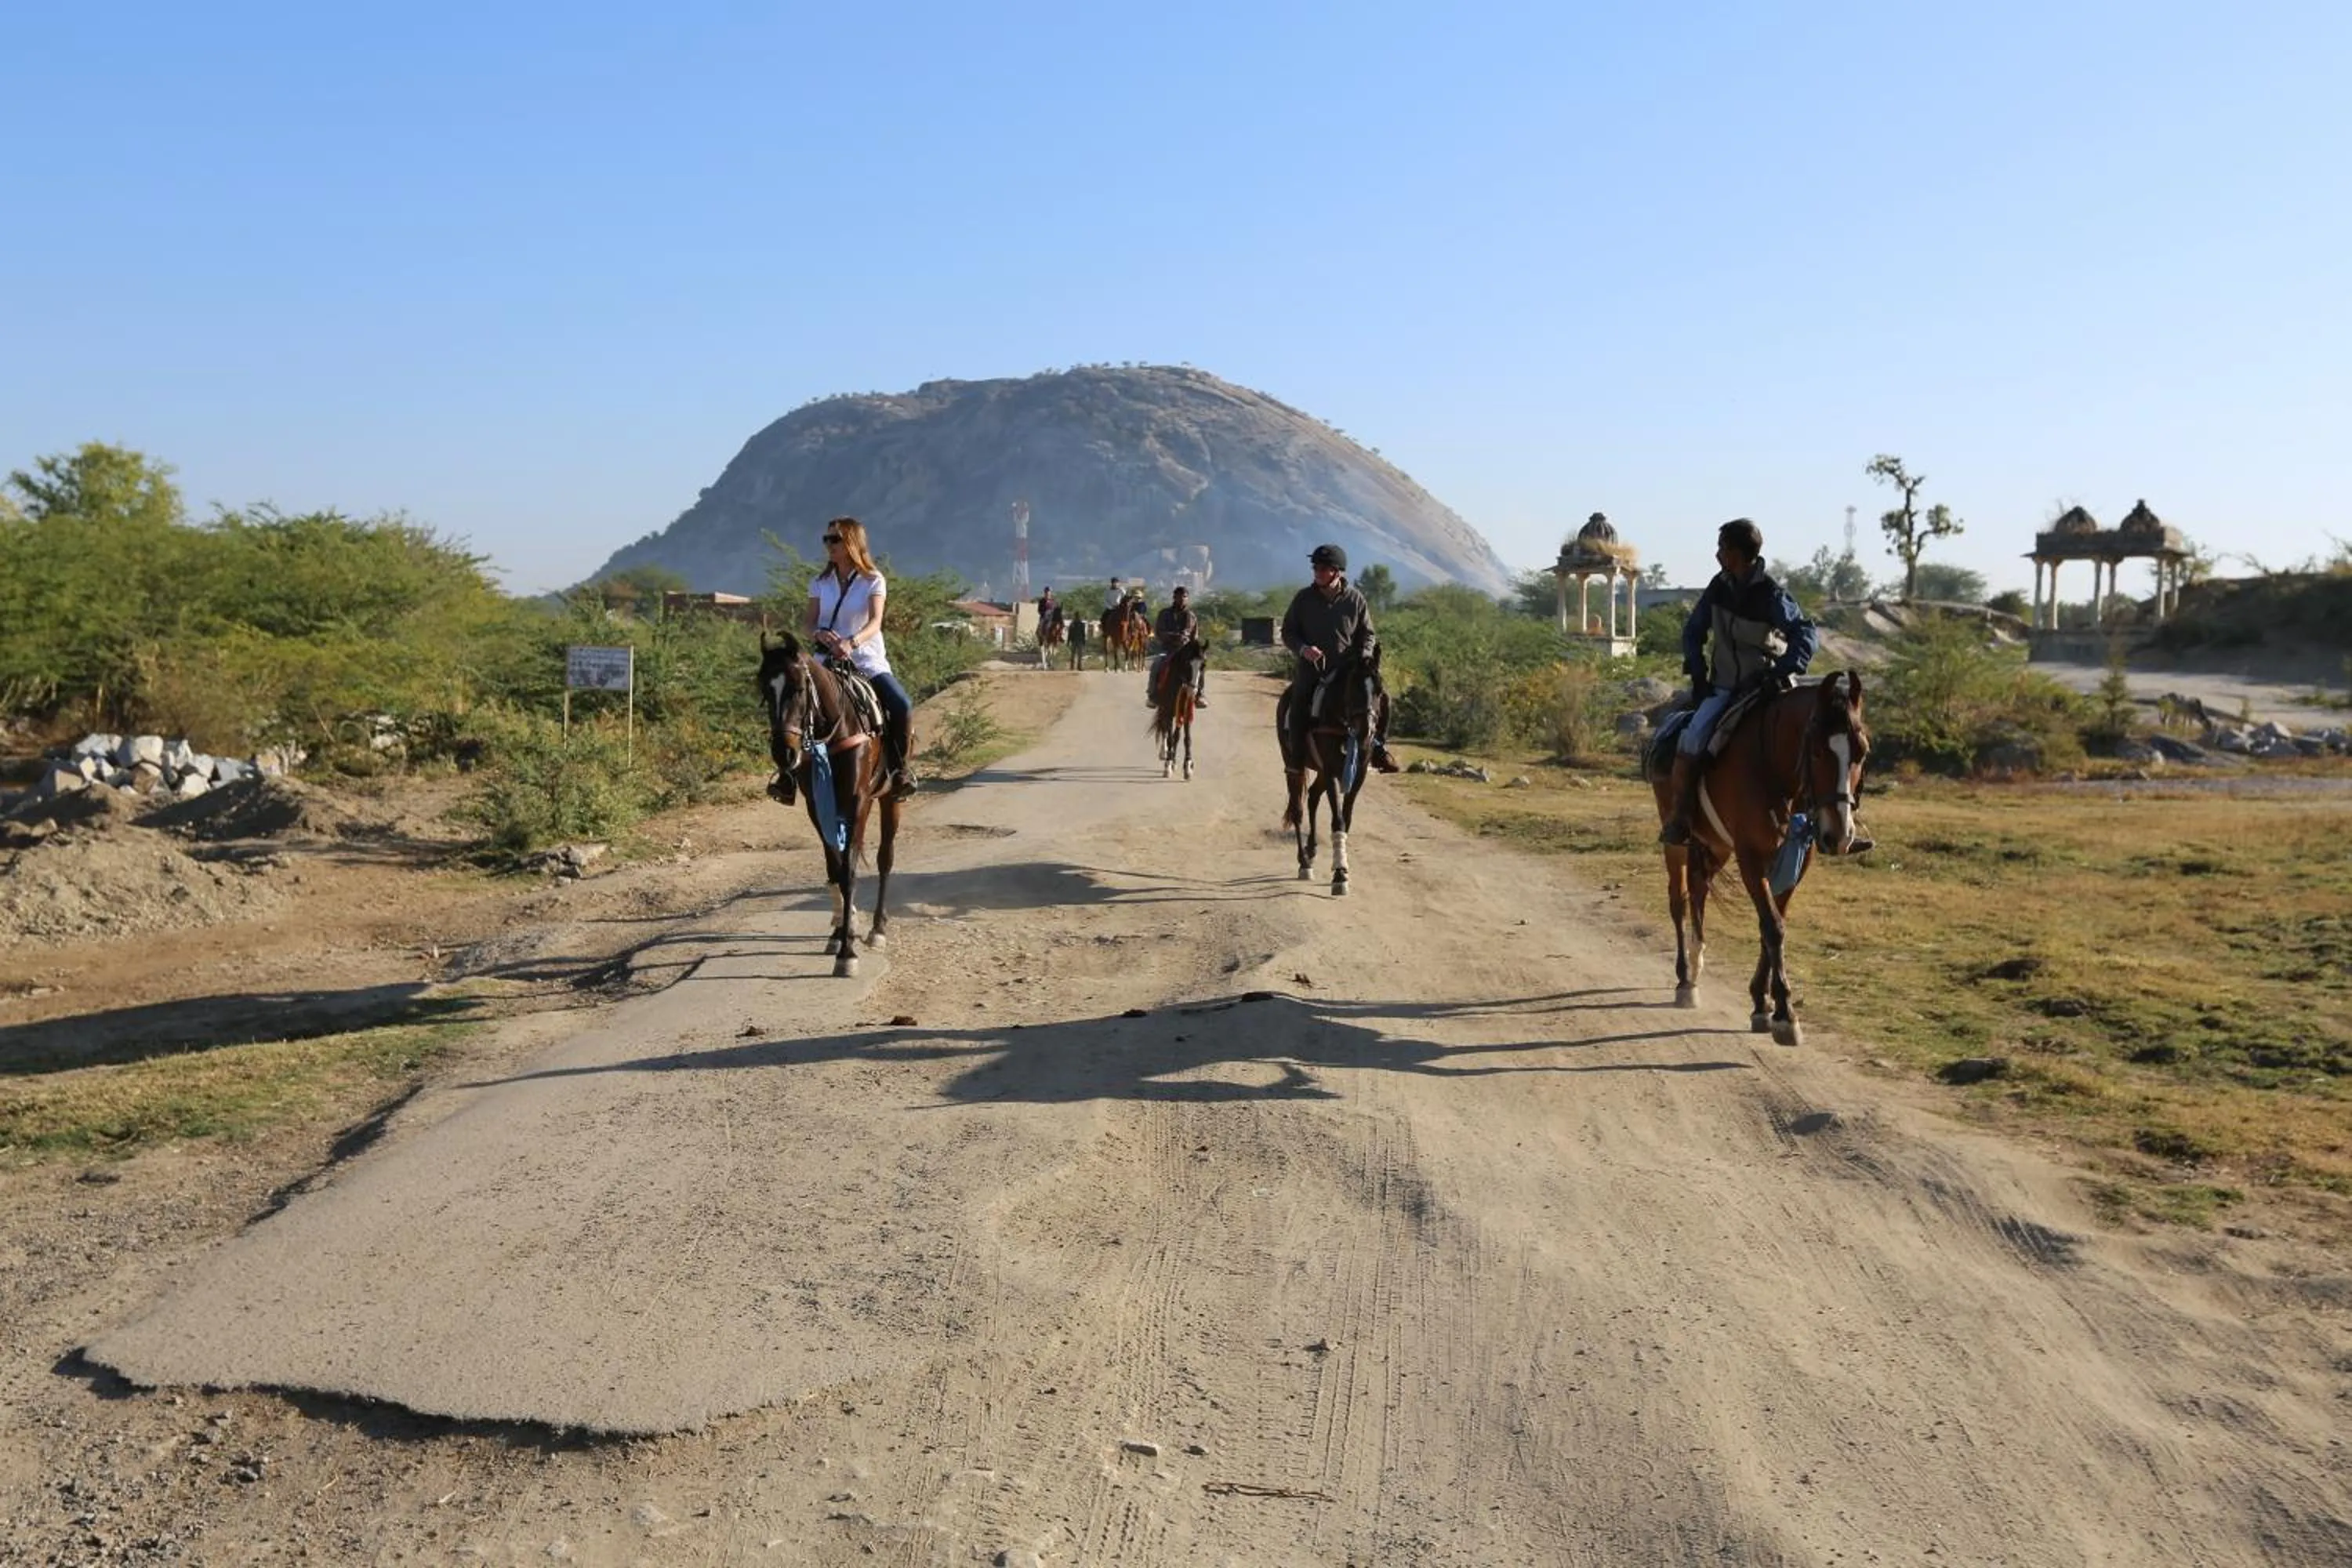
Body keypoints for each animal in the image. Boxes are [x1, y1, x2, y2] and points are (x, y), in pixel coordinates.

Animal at [756, 632, 904, 978]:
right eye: (765, 690)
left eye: (799, 688)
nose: (783, 753)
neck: (837, 727)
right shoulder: (817, 805)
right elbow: (835, 867)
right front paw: (840, 935)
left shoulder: (857, 801)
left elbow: (849, 870)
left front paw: (848, 954)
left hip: (889, 798)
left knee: (885, 858)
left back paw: (878, 929)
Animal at [1147, 636, 1204, 780]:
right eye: (1187, 664)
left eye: (1203, 665)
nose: (1193, 692)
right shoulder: (1167, 710)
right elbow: (1170, 737)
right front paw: (1168, 766)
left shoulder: (1186, 712)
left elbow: (1185, 738)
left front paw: (1188, 766)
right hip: (1164, 709)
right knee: (1164, 729)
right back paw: (1165, 753)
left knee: (1174, 734)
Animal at [1278, 657, 1385, 896]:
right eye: (1354, 688)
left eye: (1379, 691)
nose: (1367, 733)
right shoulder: (1330, 771)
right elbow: (1338, 820)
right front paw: (1339, 875)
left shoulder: (1357, 775)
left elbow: (1347, 819)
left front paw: (1342, 867)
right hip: (1293, 763)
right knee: (1297, 809)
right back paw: (1304, 862)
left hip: (1321, 771)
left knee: (1313, 797)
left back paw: (1311, 849)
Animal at [1644, 672, 1872, 1044]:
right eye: (1817, 751)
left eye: (1862, 751)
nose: (1839, 836)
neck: (1775, 770)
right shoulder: (1750, 857)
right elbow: (1773, 927)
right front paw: (1785, 1014)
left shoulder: (1796, 861)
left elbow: (1774, 923)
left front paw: (1762, 1003)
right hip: (1676, 841)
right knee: (1679, 899)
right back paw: (1685, 979)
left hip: (1716, 846)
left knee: (1699, 890)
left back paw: (1696, 965)